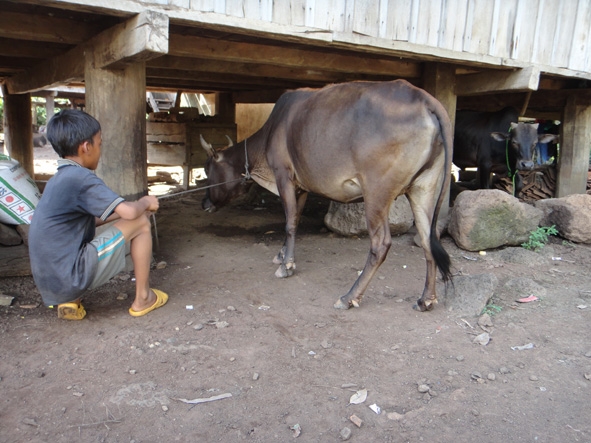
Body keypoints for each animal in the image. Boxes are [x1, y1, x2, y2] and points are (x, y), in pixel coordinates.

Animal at [199, 80, 454, 312]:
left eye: (207, 168)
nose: (204, 203)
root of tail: (424, 98)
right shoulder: (301, 185)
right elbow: (295, 219)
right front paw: (282, 255)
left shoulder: (283, 175)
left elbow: (289, 223)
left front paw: (286, 266)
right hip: (423, 188)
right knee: (428, 238)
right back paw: (425, 300)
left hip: (377, 192)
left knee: (380, 244)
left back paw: (349, 297)